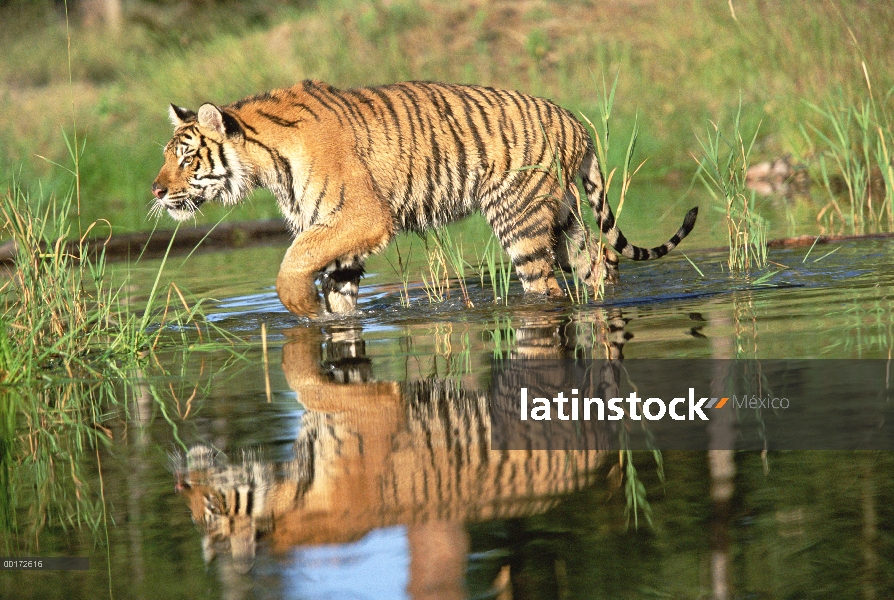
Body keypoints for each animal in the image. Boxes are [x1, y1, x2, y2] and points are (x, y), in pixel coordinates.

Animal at [154, 81, 700, 316]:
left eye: (186, 158)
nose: (157, 190)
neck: (264, 162)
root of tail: (575, 121)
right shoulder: (336, 230)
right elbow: (340, 294)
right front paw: (329, 319)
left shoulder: (359, 216)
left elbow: (294, 259)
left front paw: (300, 305)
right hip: (562, 217)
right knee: (600, 261)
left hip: (519, 219)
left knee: (547, 288)